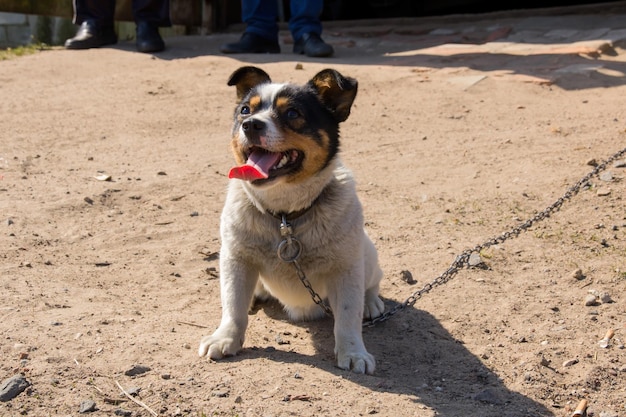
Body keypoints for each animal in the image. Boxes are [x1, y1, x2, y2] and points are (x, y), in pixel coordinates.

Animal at [199, 66, 386, 374]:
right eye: (245, 110)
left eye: (292, 113)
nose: (250, 125)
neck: (285, 216)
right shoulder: (236, 260)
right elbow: (233, 307)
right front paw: (225, 337)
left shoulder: (346, 269)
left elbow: (348, 317)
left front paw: (354, 352)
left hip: (367, 254)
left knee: (372, 283)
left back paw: (371, 302)